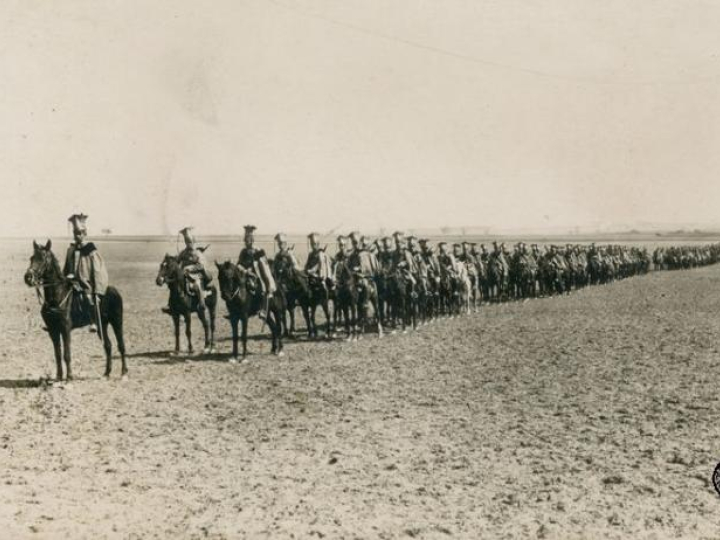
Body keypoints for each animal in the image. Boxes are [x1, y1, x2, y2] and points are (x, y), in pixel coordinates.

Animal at [23, 240, 128, 380]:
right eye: (32, 258)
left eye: (43, 259)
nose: (28, 278)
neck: (57, 296)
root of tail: (114, 290)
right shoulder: (53, 330)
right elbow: (57, 354)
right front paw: (59, 376)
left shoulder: (65, 328)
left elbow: (66, 354)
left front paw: (69, 377)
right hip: (103, 324)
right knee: (108, 345)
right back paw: (107, 373)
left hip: (117, 321)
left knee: (121, 345)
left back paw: (124, 372)